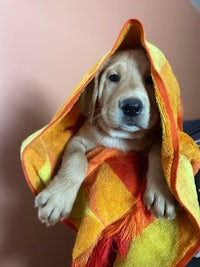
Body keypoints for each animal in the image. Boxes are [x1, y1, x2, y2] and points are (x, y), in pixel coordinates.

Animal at [35, 49, 176, 226]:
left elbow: (159, 151)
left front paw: (161, 192)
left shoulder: (159, 138)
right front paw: (58, 197)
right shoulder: (77, 140)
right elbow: (76, 160)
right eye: (113, 77)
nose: (132, 107)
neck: (122, 137)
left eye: (151, 79)